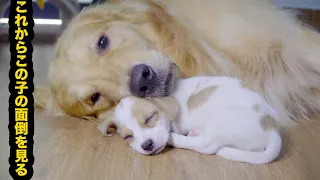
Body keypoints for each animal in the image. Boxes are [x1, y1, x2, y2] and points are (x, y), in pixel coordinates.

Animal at [97, 73, 280, 165]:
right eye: (128, 137)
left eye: (150, 118)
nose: (147, 145)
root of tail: (273, 131)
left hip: (222, 120)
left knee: (205, 145)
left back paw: (175, 138)